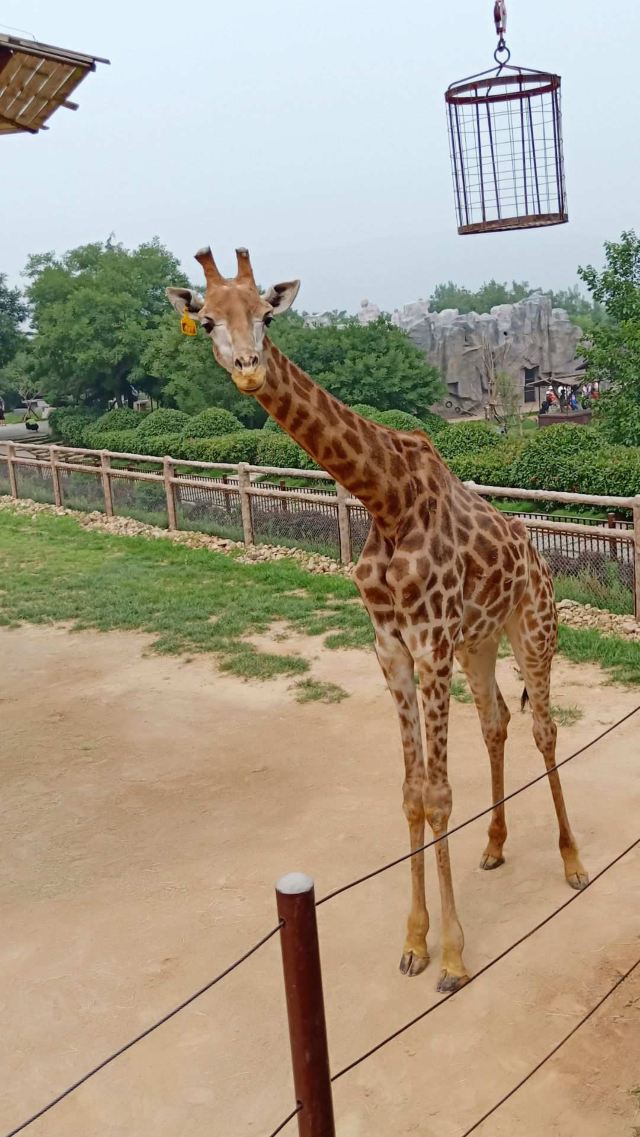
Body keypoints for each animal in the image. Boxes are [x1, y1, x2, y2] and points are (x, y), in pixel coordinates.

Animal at [166, 246, 589, 991]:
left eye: (267, 315)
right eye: (207, 319)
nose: (247, 367)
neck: (383, 497)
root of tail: (537, 549)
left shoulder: (429, 646)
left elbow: (440, 793)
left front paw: (453, 957)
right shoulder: (392, 648)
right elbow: (412, 792)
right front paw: (415, 942)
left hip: (532, 627)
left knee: (544, 727)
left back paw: (571, 864)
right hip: (479, 643)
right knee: (498, 722)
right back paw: (494, 846)